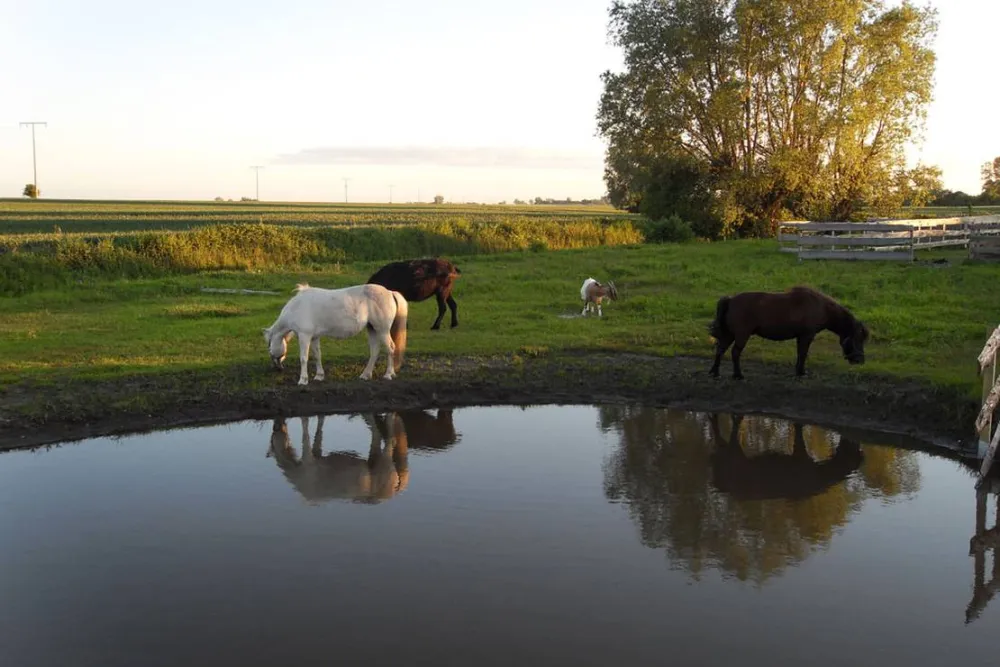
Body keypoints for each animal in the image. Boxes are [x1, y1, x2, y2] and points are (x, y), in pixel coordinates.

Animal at [261, 283, 408, 385]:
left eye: (269, 346)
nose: (277, 368)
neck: (297, 307)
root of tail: (390, 292)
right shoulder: (314, 337)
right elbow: (317, 356)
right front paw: (319, 376)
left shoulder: (304, 336)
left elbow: (303, 358)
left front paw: (303, 380)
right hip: (372, 329)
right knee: (375, 351)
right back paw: (366, 375)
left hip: (382, 330)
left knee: (390, 348)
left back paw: (388, 374)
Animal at [708, 285, 869, 379]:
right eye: (858, 338)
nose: (860, 360)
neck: (821, 307)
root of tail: (730, 300)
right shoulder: (807, 336)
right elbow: (803, 354)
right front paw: (801, 372)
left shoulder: (801, 337)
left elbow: (800, 354)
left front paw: (798, 370)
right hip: (742, 335)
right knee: (735, 352)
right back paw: (738, 375)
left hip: (730, 334)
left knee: (720, 350)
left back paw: (715, 372)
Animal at [708, 414, 864, 502]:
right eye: (853, 454)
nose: (856, 443)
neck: (821, 474)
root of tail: (717, 482)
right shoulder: (801, 456)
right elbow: (799, 433)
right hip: (732, 454)